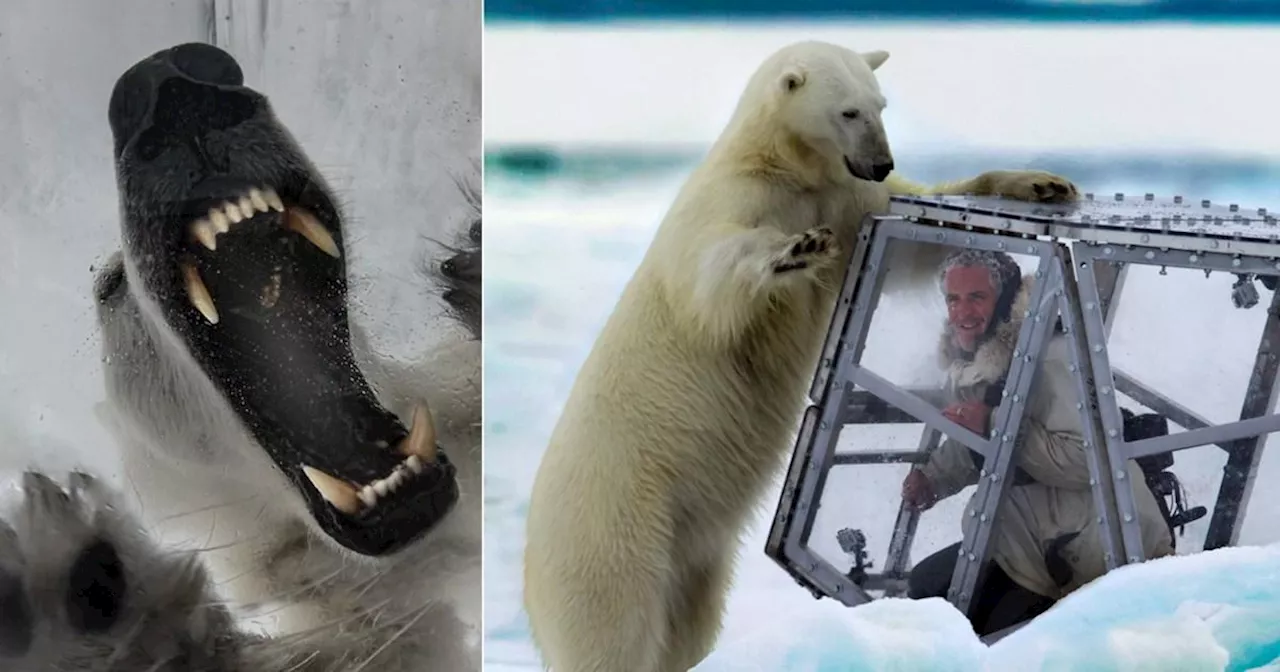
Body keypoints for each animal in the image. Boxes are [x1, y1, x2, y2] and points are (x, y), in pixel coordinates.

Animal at [519, 39, 1080, 670]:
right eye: (848, 112)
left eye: (880, 104)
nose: (880, 160)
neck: (787, 166)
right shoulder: (734, 202)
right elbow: (714, 277)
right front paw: (796, 249)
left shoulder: (846, 197)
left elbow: (916, 228)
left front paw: (1039, 184)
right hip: (616, 524)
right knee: (613, 627)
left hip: (692, 556)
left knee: (689, 621)